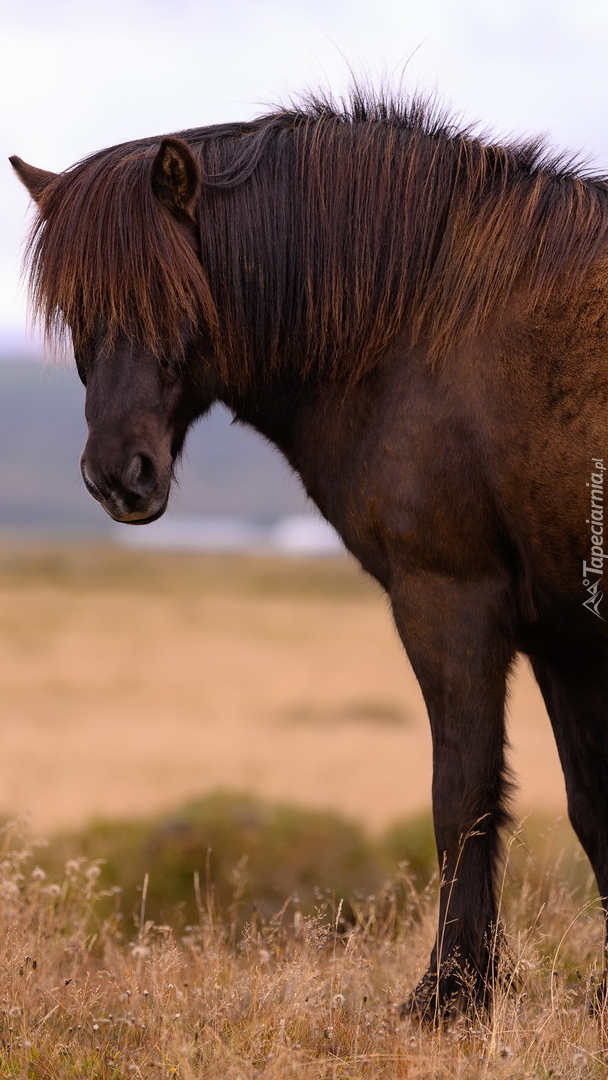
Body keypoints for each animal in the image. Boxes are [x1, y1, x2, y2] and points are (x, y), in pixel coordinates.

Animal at [10, 92, 608, 1019]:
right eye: (76, 310)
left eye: (176, 294)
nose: (118, 477)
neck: (426, 322)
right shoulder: (560, 630)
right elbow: (590, 807)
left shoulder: (450, 599)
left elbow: (461, 796)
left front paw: (448, 998)